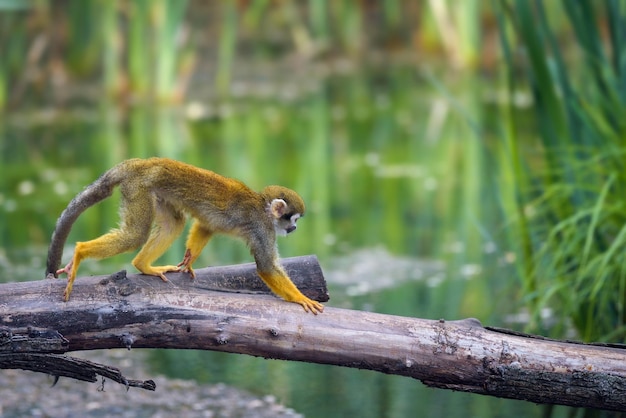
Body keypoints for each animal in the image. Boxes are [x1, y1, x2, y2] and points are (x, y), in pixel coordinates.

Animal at [46, 157, 324, 314]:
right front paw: (302, 298)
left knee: (174, 224)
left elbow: (206, 225)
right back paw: (80, 252)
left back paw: (143, 265)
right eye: (293, 219)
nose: (294, 229)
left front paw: (189, 260)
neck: (262, 208)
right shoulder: (261, 229)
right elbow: (266, 267)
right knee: (135, 235)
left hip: (152, 191)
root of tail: (139, 162)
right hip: (138, 188)